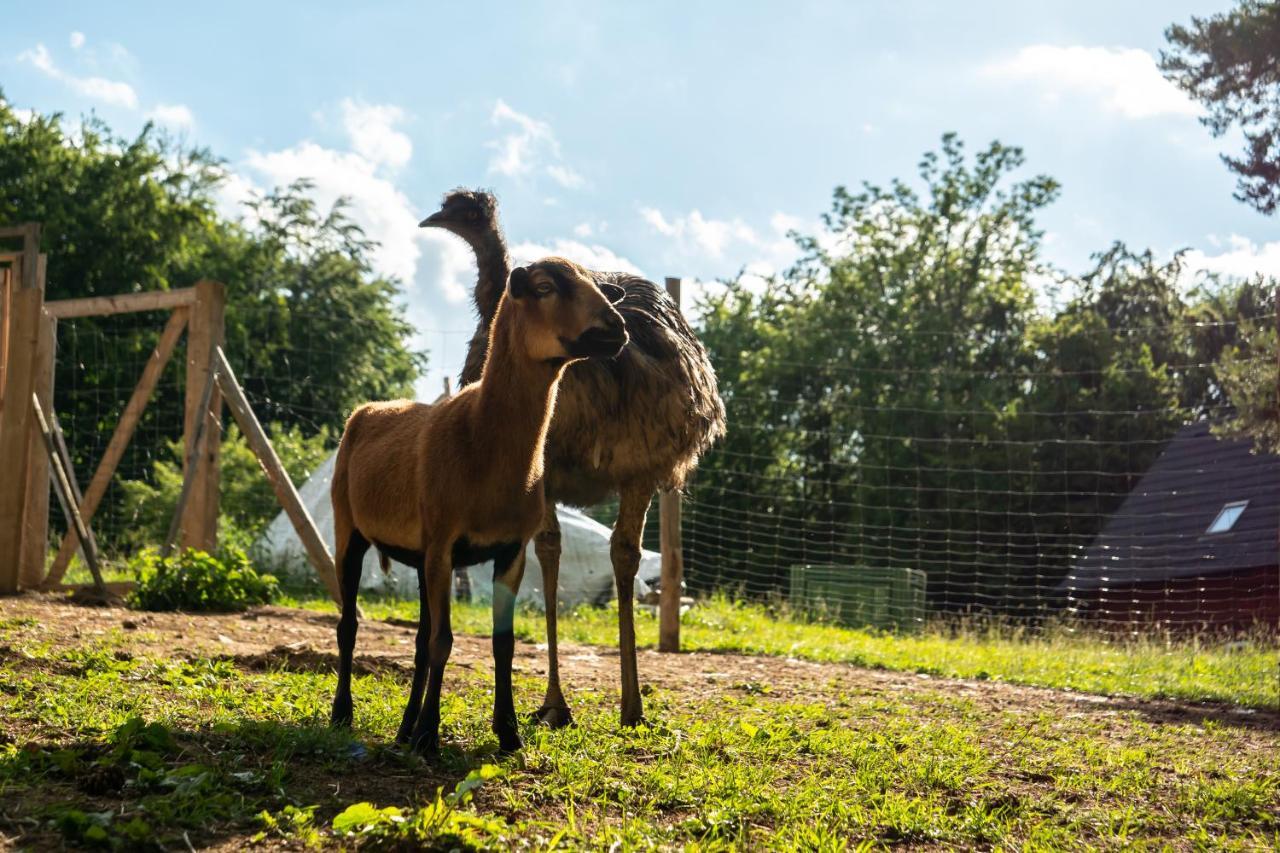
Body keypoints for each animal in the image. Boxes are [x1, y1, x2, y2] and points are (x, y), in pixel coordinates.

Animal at [330, 253, 629, 753]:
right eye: (545, 287)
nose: (617, 328)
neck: (483, 437)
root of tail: (369, 408)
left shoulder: (508, 551)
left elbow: (499, 643)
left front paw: (507, 732)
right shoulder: (444, 544)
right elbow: (444, 642)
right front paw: (429, 734)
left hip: (419, 556)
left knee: (418, 638)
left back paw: (403, 729)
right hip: (348, 528)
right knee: (349, 626)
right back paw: (343, 715)